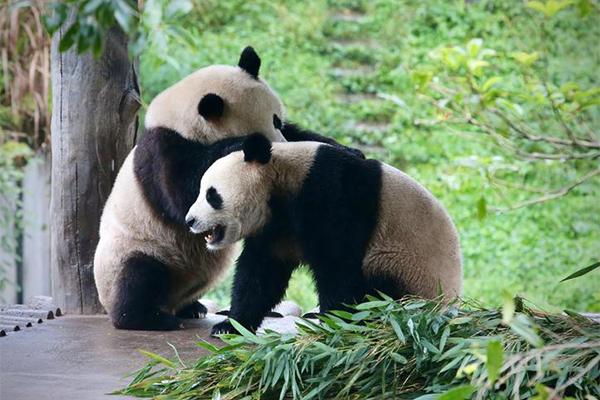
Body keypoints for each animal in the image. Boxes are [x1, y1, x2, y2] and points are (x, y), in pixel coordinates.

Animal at [92, 46, 364, 332]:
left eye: (278, 120)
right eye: (270, 124)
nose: (280, 144)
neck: (180, 122)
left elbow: (304, 137)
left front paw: (348, 151)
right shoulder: (164, 150)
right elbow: (184, 194)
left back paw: (192, 308)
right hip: (140, 249)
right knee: (139, 276)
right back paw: (148, 317)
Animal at [185, 134, 462, 334]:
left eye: (212, 195)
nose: (190, 221)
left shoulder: (333, 196)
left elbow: (338, 267)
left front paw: (334, 322)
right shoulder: (275, 229)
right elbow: (260, 275)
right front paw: (230, 325)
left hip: (408, 268)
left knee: (381, 285)